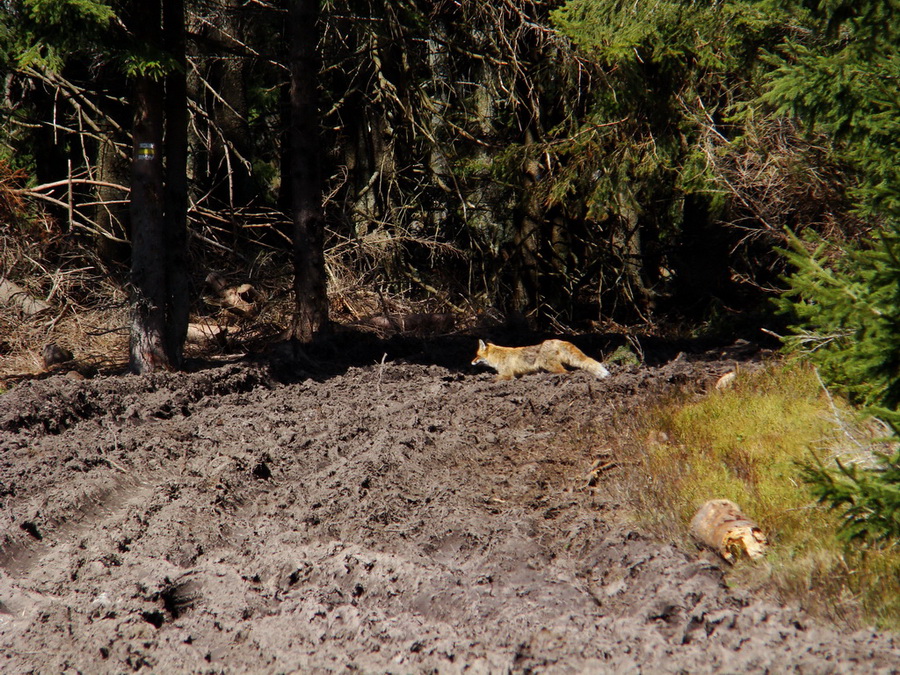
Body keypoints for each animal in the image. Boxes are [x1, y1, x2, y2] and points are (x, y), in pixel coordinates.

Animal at [472, 338, 612, 380]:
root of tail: (555, 340)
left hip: (550, 366)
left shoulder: (506, 374)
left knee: (564, 372)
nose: (471, 362)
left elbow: (494, 380)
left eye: (477, 355)